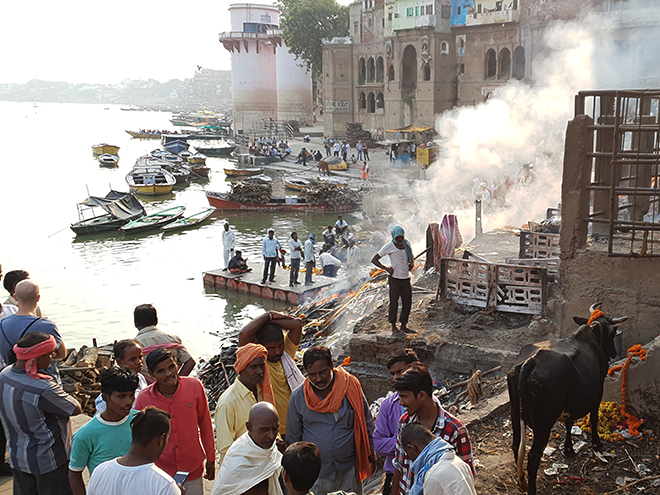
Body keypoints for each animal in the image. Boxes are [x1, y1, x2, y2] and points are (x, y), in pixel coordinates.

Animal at [506, 304, 628, 494]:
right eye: (613, 332)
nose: (613, 353)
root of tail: (530, 362)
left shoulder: (572, 402)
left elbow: (569, 423)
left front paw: (569, 449)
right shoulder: (598, 392)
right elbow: (593, 419)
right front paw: (597, 444)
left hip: (515, 414)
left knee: (516, 445)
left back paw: (522, 482)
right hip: (544, 424)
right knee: (533, 457)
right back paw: (531, 488)